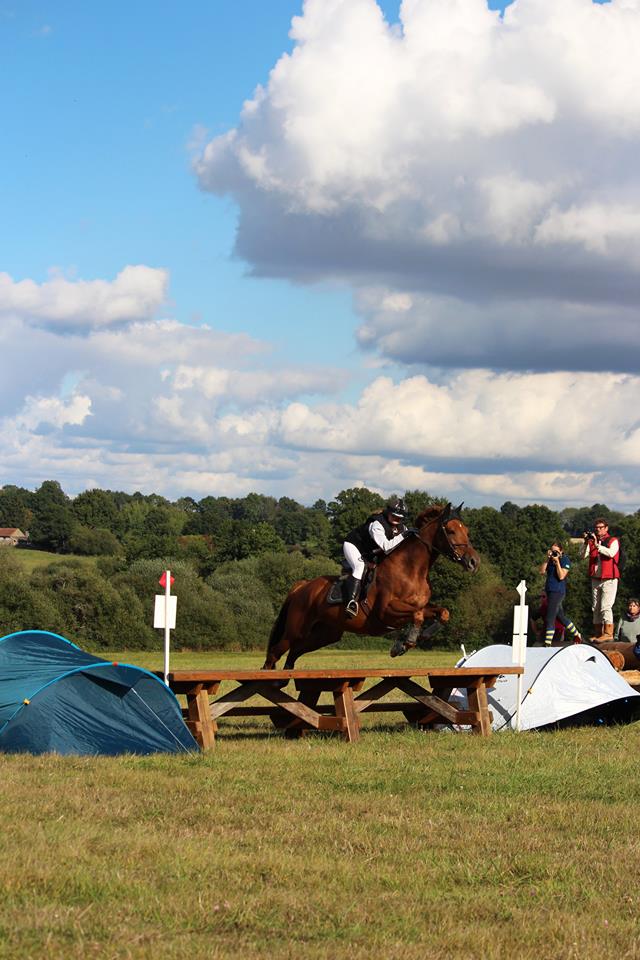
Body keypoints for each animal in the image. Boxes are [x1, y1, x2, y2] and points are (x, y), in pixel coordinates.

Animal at [262, 502, 478, 668]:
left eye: (467, 531)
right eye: (451, 531)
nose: (474, 562)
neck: (412, 570)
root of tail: (303, 586)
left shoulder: (420, 606)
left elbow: (442, 613)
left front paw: (422, 636)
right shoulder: (386, 611)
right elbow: (416, 616)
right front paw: (403, 644)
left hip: (325, 634)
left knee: (294, 652)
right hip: (296, 629)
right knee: (275, 652)